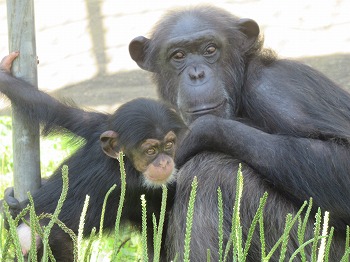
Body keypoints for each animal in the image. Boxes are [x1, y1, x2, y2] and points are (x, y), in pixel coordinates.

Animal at [0, 52, 186, 260]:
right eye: (151, 151)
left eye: (168, 145)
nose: (164, 162)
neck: (121, 163)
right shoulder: (140, 184)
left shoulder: (93, 125)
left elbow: (49, 107)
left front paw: (3, 73)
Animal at [129, 4, 350, 262]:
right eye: (178, 56)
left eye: (210, 49)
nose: (196, 73)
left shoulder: (275, 89)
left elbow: (342, 158)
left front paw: (194, 135)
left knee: (212, 170)